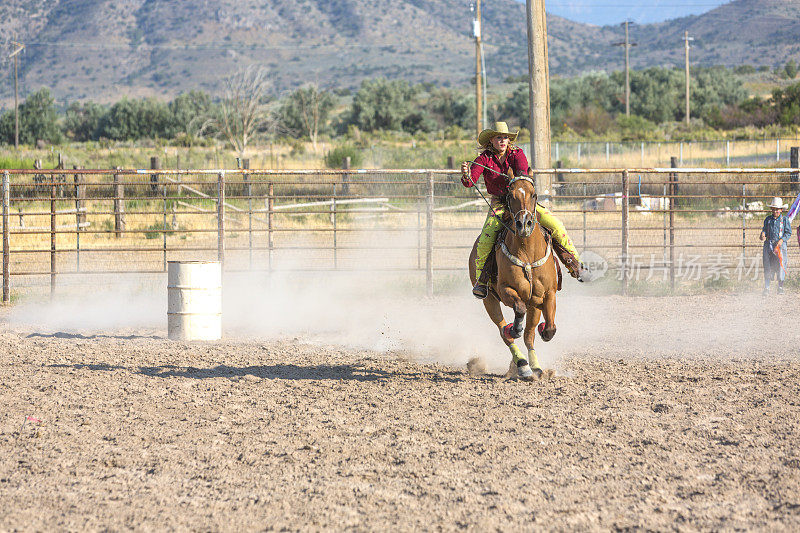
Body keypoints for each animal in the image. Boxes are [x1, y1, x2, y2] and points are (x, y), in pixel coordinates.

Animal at [468, 170, 556, 378]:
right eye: (510, 195)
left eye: (534, 194)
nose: (524, 224)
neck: (527, 252)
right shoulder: (506, 290)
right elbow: (519, 310)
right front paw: (514, 328)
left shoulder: (548, 293)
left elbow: (549, 328)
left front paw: (543, 329)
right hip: (489, 300)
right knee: (503, 333)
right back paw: (522, 364)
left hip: (533, 304)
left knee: (529, 336)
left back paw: (535, 368)